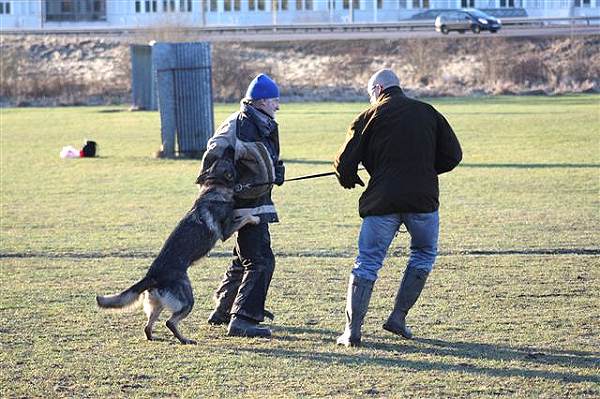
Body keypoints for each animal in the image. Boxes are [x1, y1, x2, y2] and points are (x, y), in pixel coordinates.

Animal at [95, 148, 258, 346]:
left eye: (223, 158)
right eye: (228, 159)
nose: (230, 148)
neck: (214, 186)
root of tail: (152, 276)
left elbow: (241, 215)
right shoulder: (225, 231)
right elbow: (243, 216)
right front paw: (255, 217)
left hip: (157, 305)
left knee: (148, 326)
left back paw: (155, 338)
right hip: (187, 300)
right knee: (170, 322)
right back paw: (185, 340)